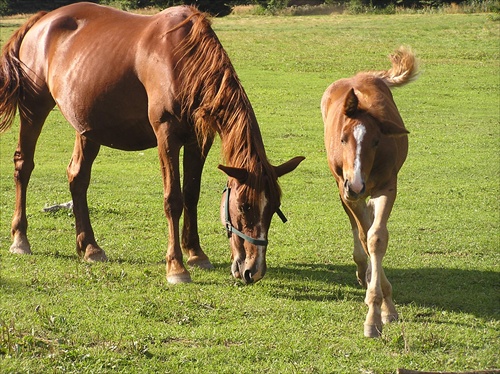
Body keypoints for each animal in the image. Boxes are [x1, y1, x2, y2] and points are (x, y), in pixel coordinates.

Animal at [0, 2, 304, 284]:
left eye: (273, 208)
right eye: (243, 207)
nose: (253, 270)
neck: (182, 60)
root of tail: (43, 20)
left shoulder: (198, 140)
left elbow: (191, 194)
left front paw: (196, 254)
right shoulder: (166, 136)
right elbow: (173, 199)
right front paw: (176, 267)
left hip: (87, 128)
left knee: (77, 178)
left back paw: (89, 247)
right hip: (34, 110)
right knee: (24, 166)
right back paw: (20, 239)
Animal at [320, 46, 418, 336]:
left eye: (376, 141)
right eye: (342, 138)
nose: (356, 184)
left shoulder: (387, 188)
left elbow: (377, 238)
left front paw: (383, 309)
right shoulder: (347, 191)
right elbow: (365, 235)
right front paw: (376, 309)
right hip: (342, 189)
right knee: (356, 224)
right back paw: (362, 268)